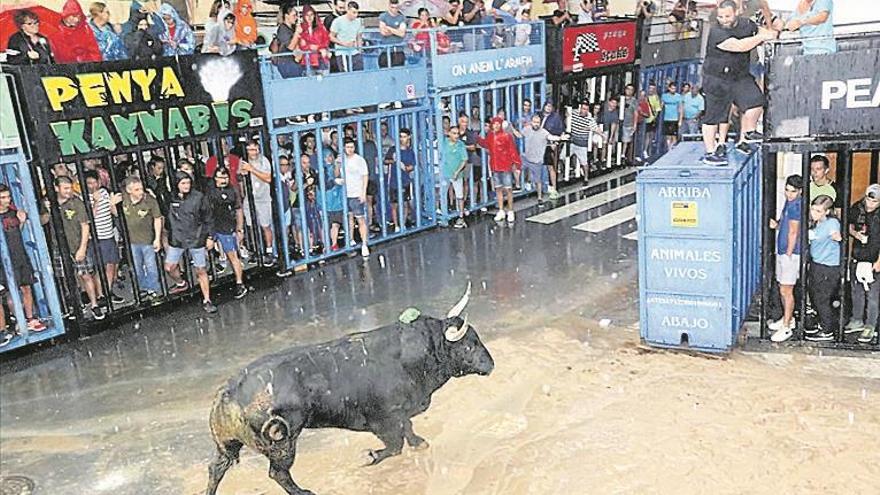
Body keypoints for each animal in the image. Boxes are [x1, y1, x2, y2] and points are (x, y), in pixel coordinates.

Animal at [207, 286, 496, 492]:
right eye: (468, 345)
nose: (491, 364)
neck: (412, 355)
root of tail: (228, 393)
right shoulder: (384, 419)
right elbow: (395, 445)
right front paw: (369, 456)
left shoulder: (400, 414)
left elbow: (408, 431)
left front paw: (419, 443)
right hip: (283, 443)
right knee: (278, 472)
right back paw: (305, 492)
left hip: (228, 446)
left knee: (216, 468)